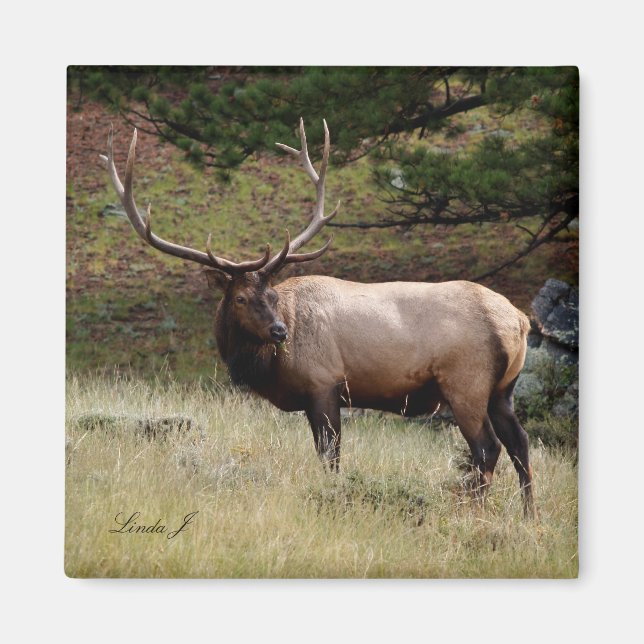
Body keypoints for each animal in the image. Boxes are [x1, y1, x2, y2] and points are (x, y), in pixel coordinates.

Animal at [101, 118, 534, 516]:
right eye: (240, 297)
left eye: (271, 294)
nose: (279, 331)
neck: (267, 368)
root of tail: (520, 321)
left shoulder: (323, 384)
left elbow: (331, 458)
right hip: (503, 389)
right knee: (521, 442)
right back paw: (529, 514)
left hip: (466, 382)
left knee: (487, 447)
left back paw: (474, 511)